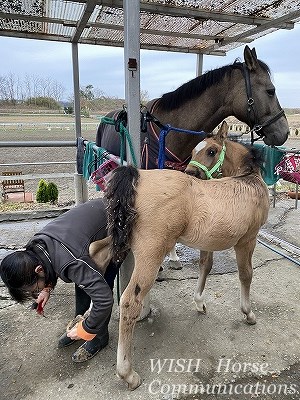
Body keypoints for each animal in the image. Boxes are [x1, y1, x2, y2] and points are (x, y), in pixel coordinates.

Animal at [105, 141, 270, 390]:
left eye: (210, 151)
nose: (192, 171)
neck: (247, 180)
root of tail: (137, 176)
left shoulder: (209, 241)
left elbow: (205, 266)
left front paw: (199, 302)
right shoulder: (248, 240)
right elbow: (246, 274)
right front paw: (248, 313)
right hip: (151, 254)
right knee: (129, 302)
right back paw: (128, 374)